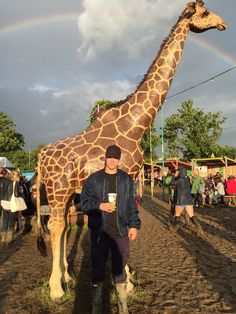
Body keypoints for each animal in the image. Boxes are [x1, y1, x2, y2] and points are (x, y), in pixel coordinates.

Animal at [37, 1, 227, 302]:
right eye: (205, 13)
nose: (223, 24)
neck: (135, 124)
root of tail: (41, 157)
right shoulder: (125, 175)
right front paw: (125, 283)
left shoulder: (133, 177)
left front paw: (128, 281)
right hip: (57, 189)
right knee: (55, 227)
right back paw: (56, 289)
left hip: (66, 194)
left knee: (65, 226)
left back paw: (67, 277)